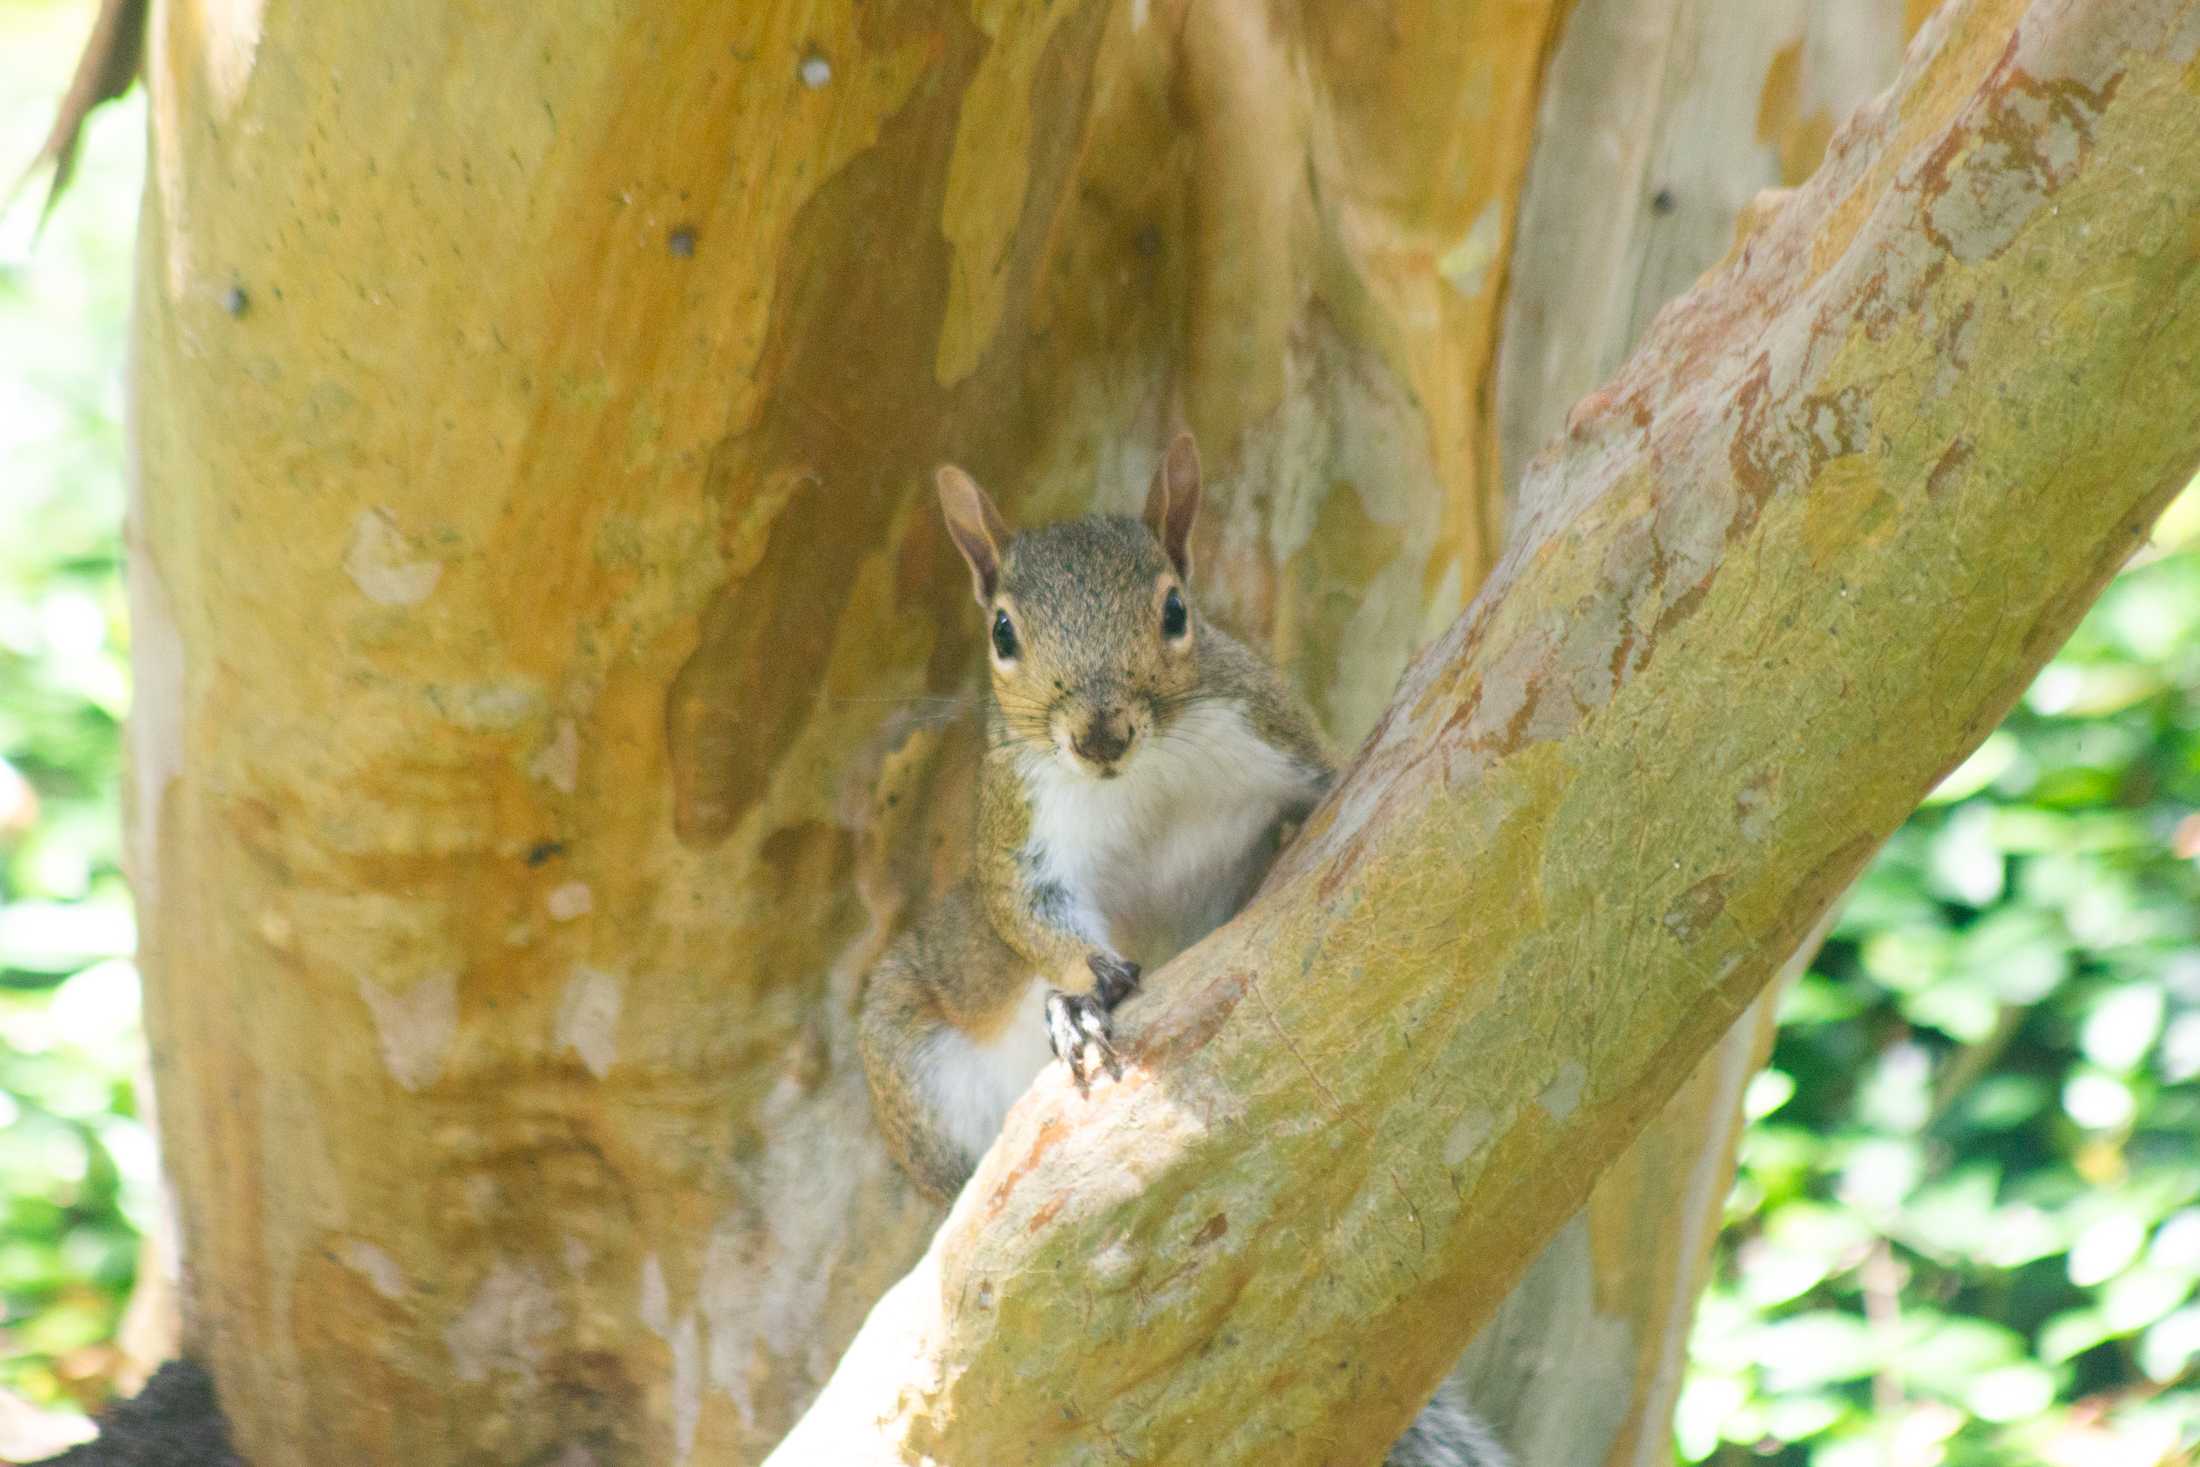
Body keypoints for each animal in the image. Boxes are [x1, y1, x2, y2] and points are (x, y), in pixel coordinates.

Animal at [853, 433, 1513, 1467]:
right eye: (1001, 633)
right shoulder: (1022, 830)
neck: (1143, 777)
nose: (1099, 733)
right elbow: (1028, 916)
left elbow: (1328, 789)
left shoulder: (1275, 736)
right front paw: (1080, 997)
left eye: (1175, 610)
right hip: (911, 1068)